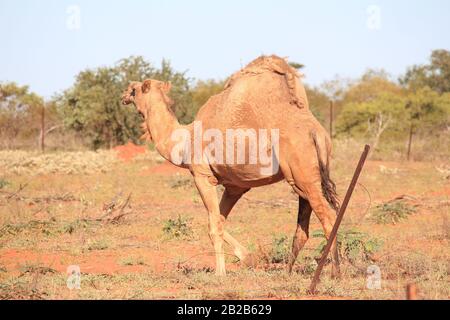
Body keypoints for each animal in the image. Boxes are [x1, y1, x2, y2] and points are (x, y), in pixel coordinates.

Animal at [121, 55, 340, 278]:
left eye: (134, 90)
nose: (124, 95)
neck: (184, 140)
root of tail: (316, 132)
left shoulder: (202, 175)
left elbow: (214, 225)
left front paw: (220, 273)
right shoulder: (236, 186)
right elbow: (218, 220)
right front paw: (248, 258)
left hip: (303, 175)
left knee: (329, 217)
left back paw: (334, 273)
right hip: (305, 178)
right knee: (304, 227)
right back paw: (290, 272)